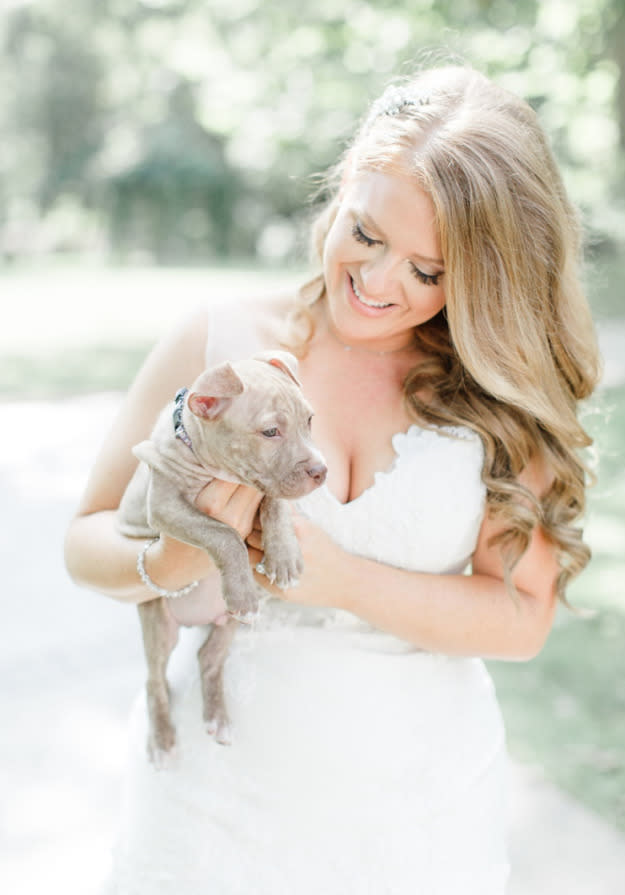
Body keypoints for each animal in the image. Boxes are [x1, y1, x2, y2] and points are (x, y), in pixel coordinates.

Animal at [116, 350, 326, 764]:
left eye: (309, 420)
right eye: (270, 432)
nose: (321, 471)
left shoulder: (264, 486)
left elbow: (275, 501)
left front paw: (284, 556)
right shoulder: (165, 507)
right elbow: (224, 534)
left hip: (228, 624)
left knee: (208, 658)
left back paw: (218, 718)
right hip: (157, 621)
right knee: (154, 678)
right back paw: (162, 739)